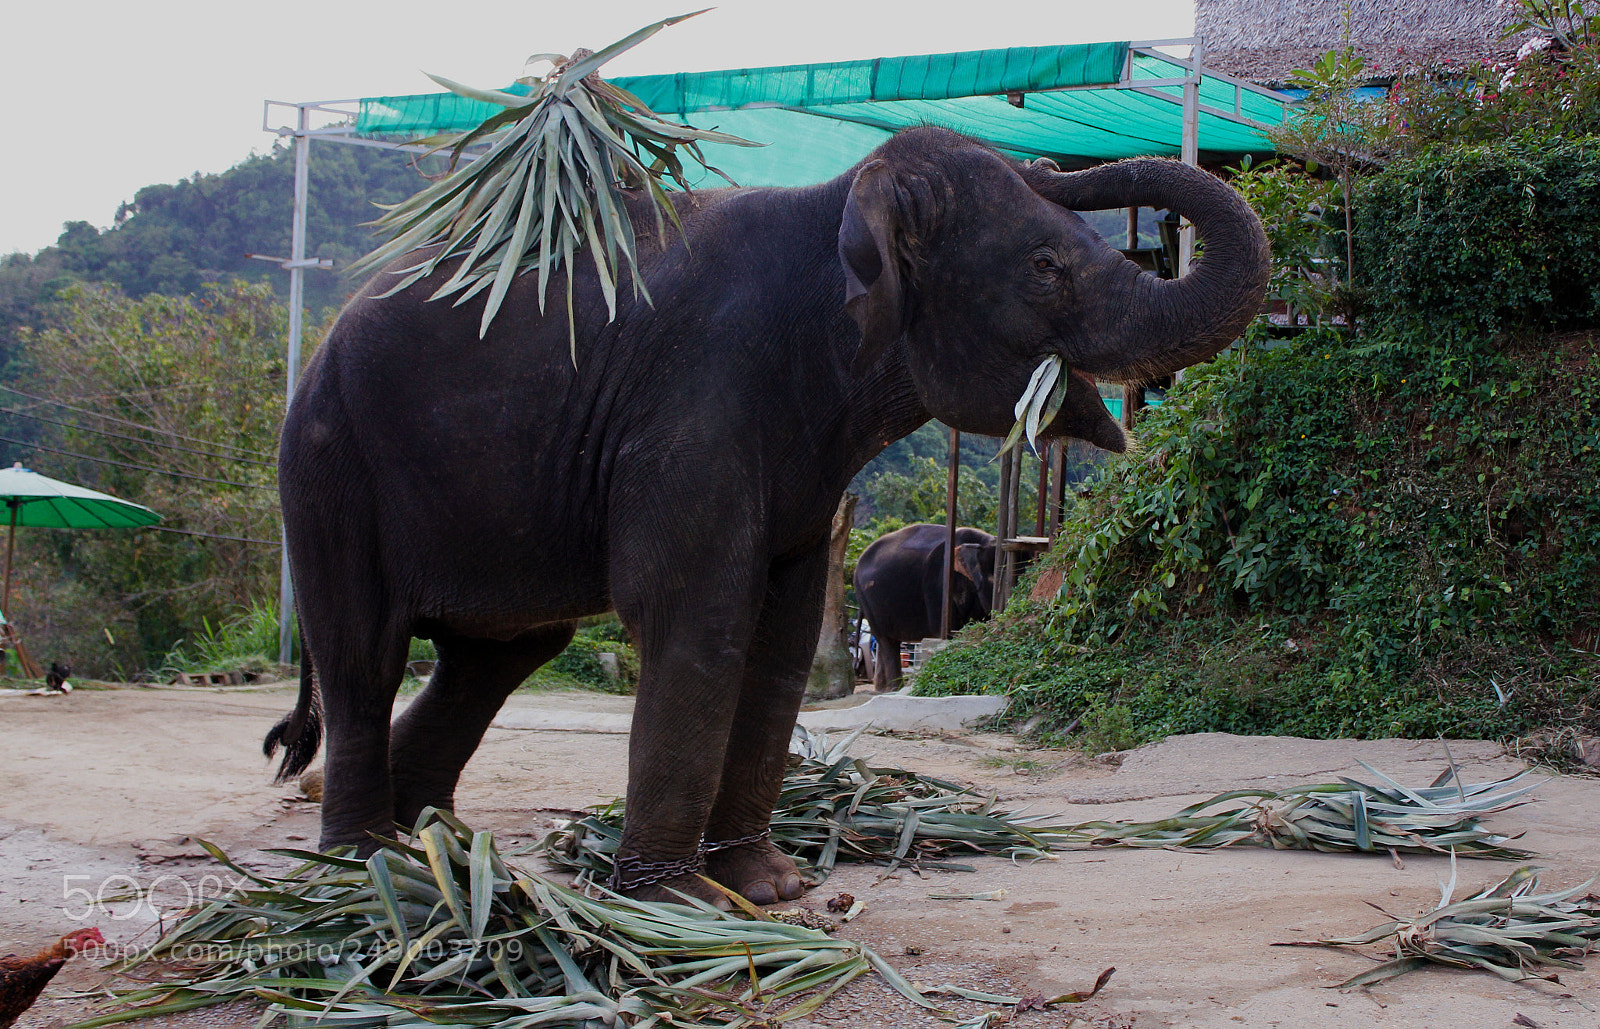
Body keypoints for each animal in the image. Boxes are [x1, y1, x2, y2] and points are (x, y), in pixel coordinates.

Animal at [854, 524, 997, 692]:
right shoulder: (938, 586)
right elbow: (945, 632)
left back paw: (883, 690)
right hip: (866, 598)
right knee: (886, 640)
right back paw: (894, 689)